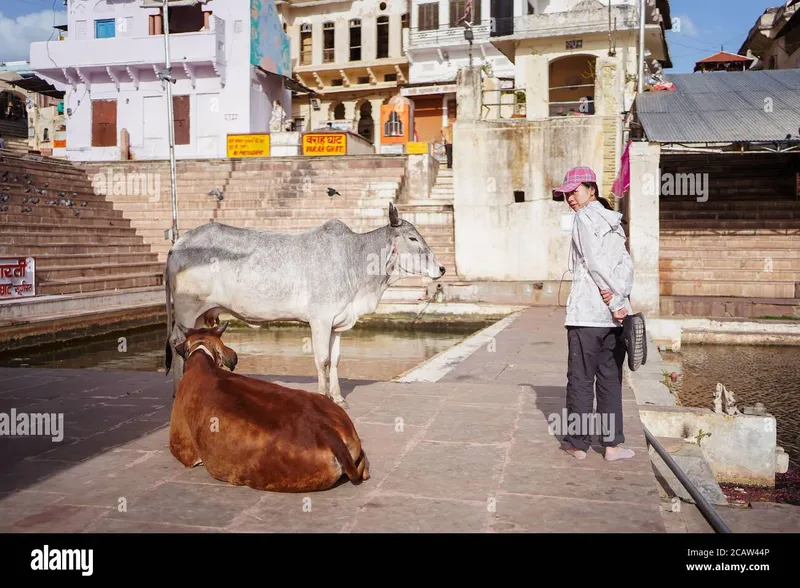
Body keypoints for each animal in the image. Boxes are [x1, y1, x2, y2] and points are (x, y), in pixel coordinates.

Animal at [165, 204, 446, 406]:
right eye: (412, 238)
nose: (442, 268)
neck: (354, 261)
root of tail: (178, 243)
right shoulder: (320, 319)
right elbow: (322, 360)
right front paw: (324, 397)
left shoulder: (337, 323)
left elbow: (335, 360)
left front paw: (338, 397)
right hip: (187, 311)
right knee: (177, 342)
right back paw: (178, 389)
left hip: (200, 316)